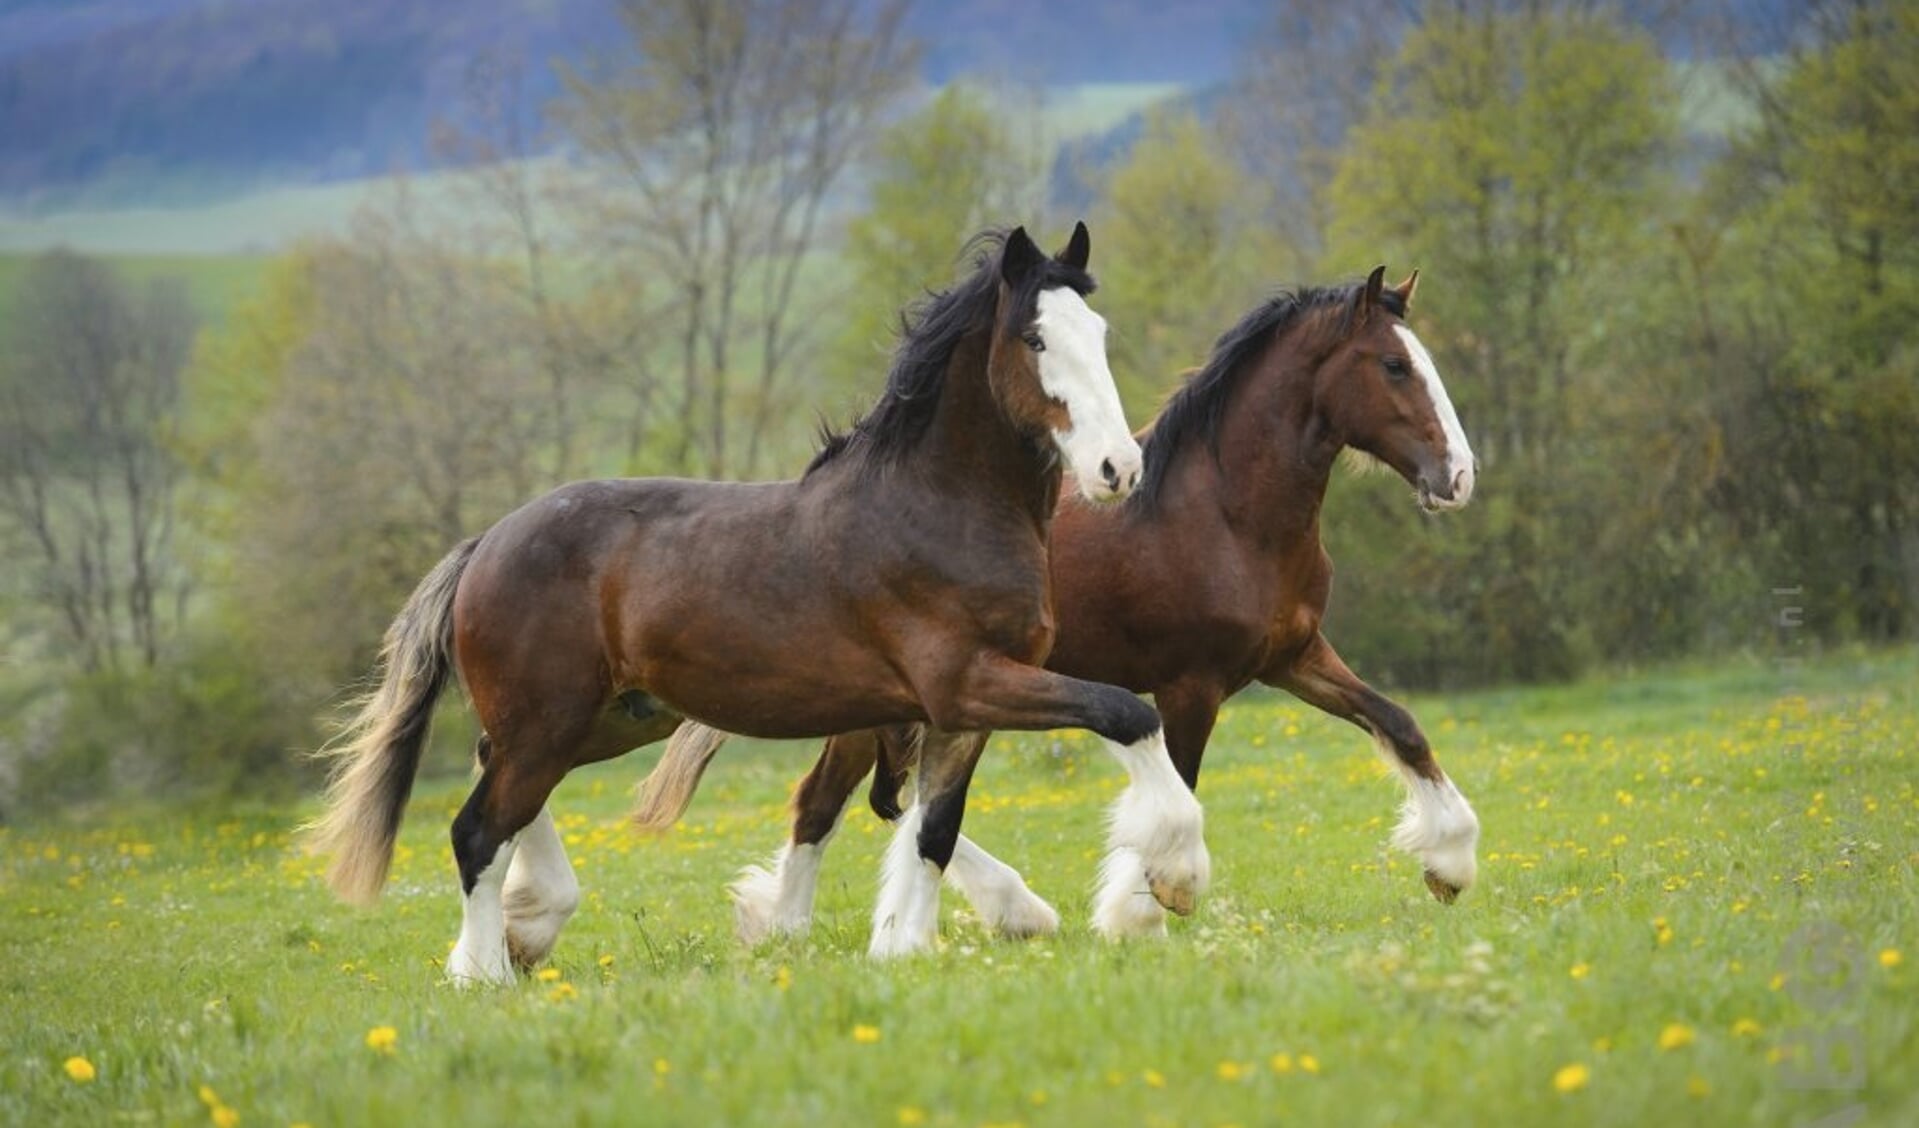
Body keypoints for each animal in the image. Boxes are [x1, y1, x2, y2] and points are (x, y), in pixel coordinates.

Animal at [303, 224, 1212, 982]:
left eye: (1098, 334)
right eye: (1034, 338)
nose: (1117, 469)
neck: (936, 506)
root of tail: (485, 545)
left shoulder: (961, 710)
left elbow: (932, 827)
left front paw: (903, 947)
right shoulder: (967, 684)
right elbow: (1127, 713)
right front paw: (1172, 878)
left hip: (605, 718)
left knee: (498, 786)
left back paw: (526, 928)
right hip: (551, 720)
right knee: (476, 831)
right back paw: (485, 970)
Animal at [637, 266, 1473, 943]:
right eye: (1395, 365)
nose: (1458, 477)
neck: (1225, 515)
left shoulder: (1294, 657)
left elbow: (1399, 724)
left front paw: (1450, 861)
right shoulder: (1190, 684)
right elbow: (1178, 782)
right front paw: (1140, 908)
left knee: (875, 800)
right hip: (879, 699)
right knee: (832, 800)